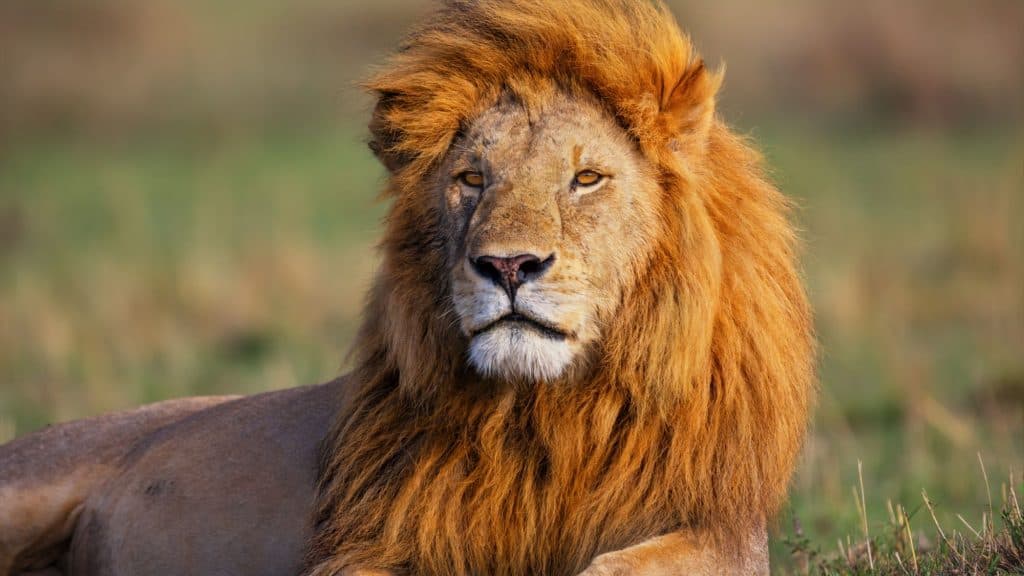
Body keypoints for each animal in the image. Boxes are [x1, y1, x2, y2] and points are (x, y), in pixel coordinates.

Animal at [0, 1, 815, 575]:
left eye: (586, 178)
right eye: (472, 179)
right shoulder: (378, 540)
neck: (544, 415)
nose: (508, 267)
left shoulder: (718, 528)